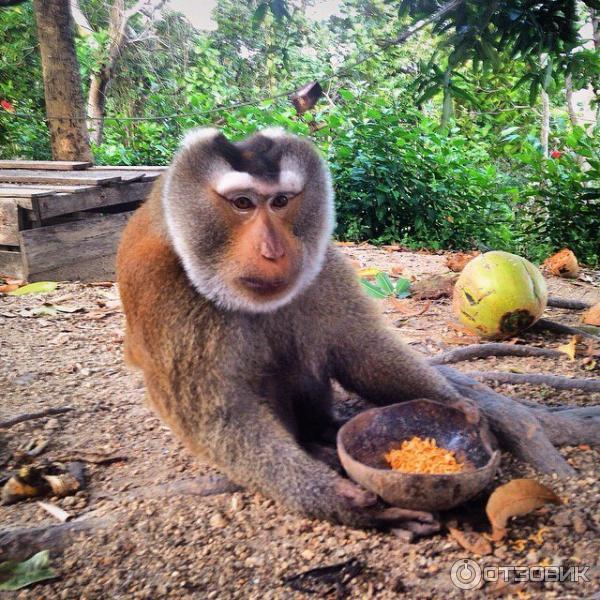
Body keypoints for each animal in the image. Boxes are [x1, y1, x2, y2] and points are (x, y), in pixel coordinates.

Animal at [117, 126, 480, 528]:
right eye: (242, 203)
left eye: (280, 201)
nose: (273, 251)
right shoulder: (164, 289)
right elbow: (218, 417)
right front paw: (340, 500)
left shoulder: (321, 264)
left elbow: (360, 348)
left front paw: (457, 407)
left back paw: (322, 429)